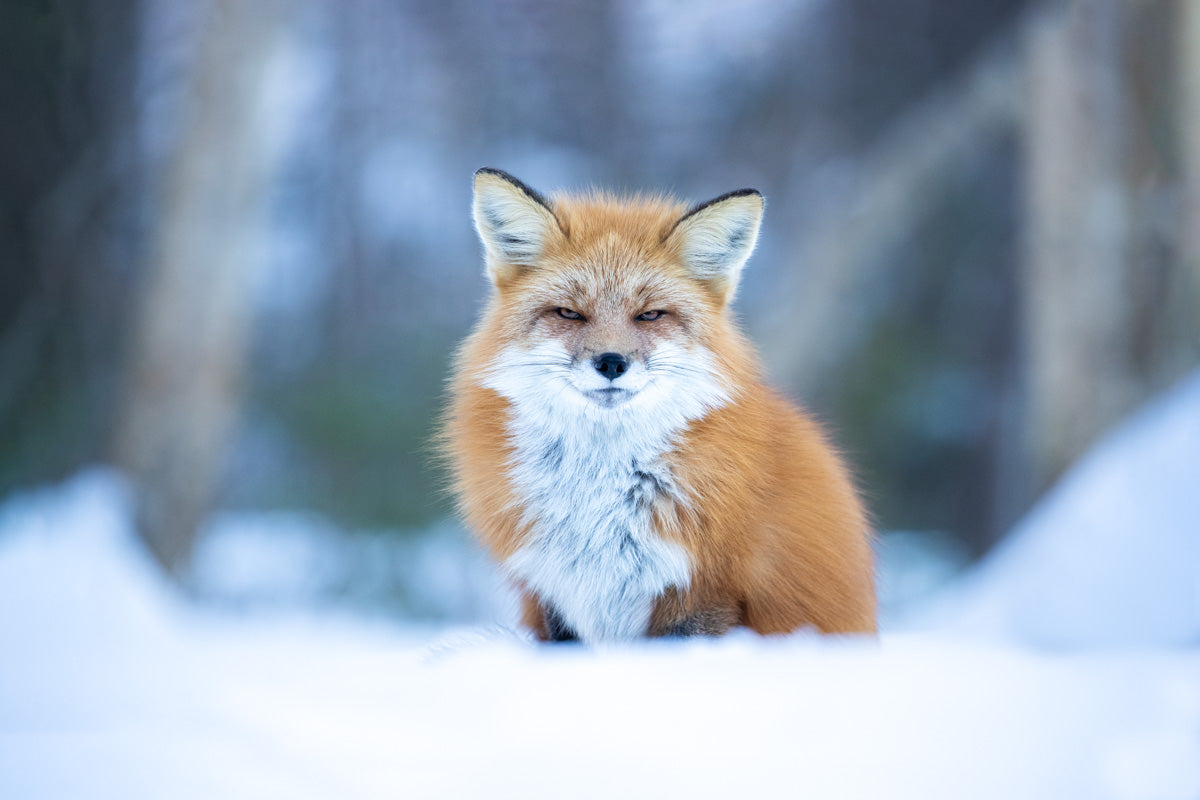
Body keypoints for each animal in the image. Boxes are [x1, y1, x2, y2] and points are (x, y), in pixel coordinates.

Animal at [443, 167, 876, 643]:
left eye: (650, 315)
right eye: (569, 313)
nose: (611, 362)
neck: (599, 492)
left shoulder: (703, 589)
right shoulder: (554, 589)